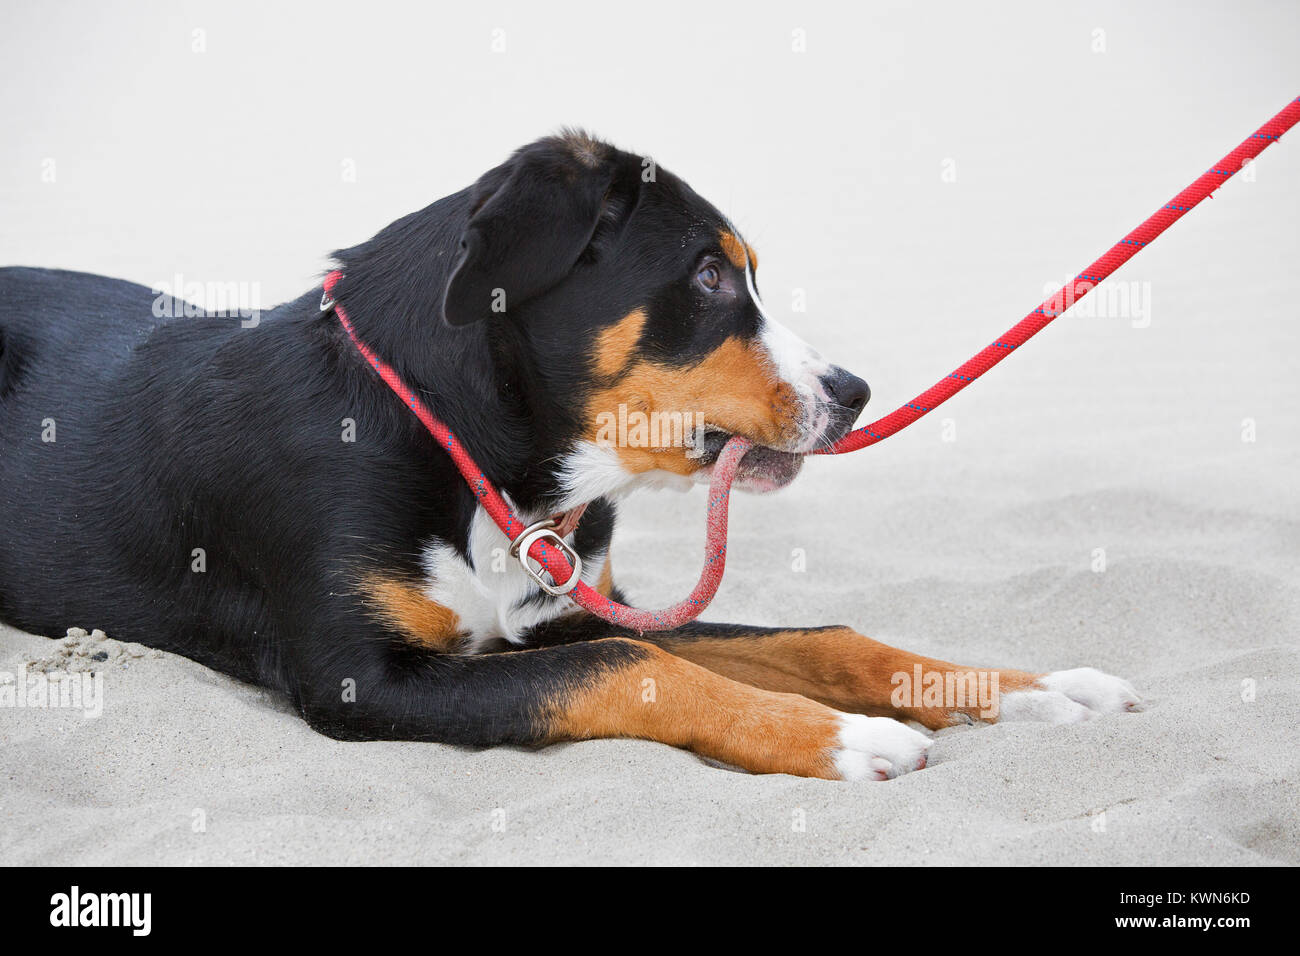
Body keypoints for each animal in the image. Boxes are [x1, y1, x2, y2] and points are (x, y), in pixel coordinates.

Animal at [0, 130, 1138, 780]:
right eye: (709, 277)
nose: (853, 393)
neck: (473, 457)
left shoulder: (564, 609)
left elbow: (819, 637)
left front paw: (1033, 688)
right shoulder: (364, 678)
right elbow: (631, 665)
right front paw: (843, 739)